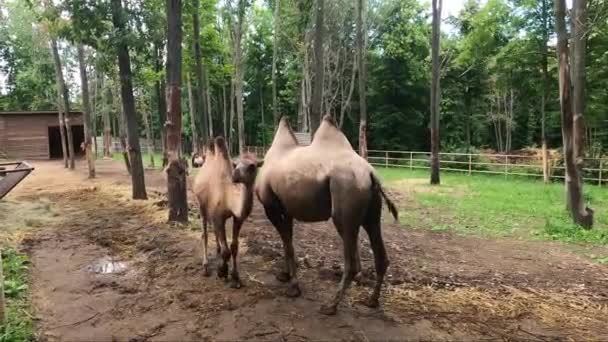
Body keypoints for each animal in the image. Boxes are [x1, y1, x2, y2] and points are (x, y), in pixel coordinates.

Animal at [192, 138, 262, 288]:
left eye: (252, 166)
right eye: (235, 164)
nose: (235, 176)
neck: (229, 197)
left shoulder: (238, 219)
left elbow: (234, 247)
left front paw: (236, 277)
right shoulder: (218, 217)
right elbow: (227, 251)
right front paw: (222, 272)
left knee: (214, 232)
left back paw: (217, 250)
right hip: (201, 204)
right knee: (205, 233)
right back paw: (206, 267)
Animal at [254, 115, 396, 316]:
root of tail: (371, 174)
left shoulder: (271, 207)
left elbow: (288, 245)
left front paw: (294, 287)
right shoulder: (286, 210)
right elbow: (287, 241)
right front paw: (285, 275)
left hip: (345, 204)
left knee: (352, 262)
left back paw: (330, 306)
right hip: (372, 214)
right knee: (380, 255)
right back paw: (371, 301)